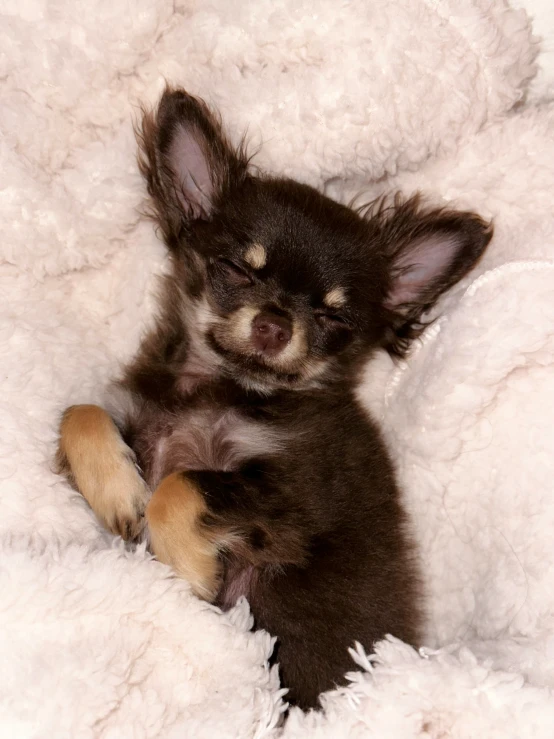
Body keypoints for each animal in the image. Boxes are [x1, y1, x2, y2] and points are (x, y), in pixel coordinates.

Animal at [57, 86, 492, 712]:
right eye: (237, 269)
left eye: (334, 317)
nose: (274, 324)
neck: (220, 388)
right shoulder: (139, 414)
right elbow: (82, 414)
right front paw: (117, 491)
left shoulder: (296, 496)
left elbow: (180, 484)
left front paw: (187, 568)